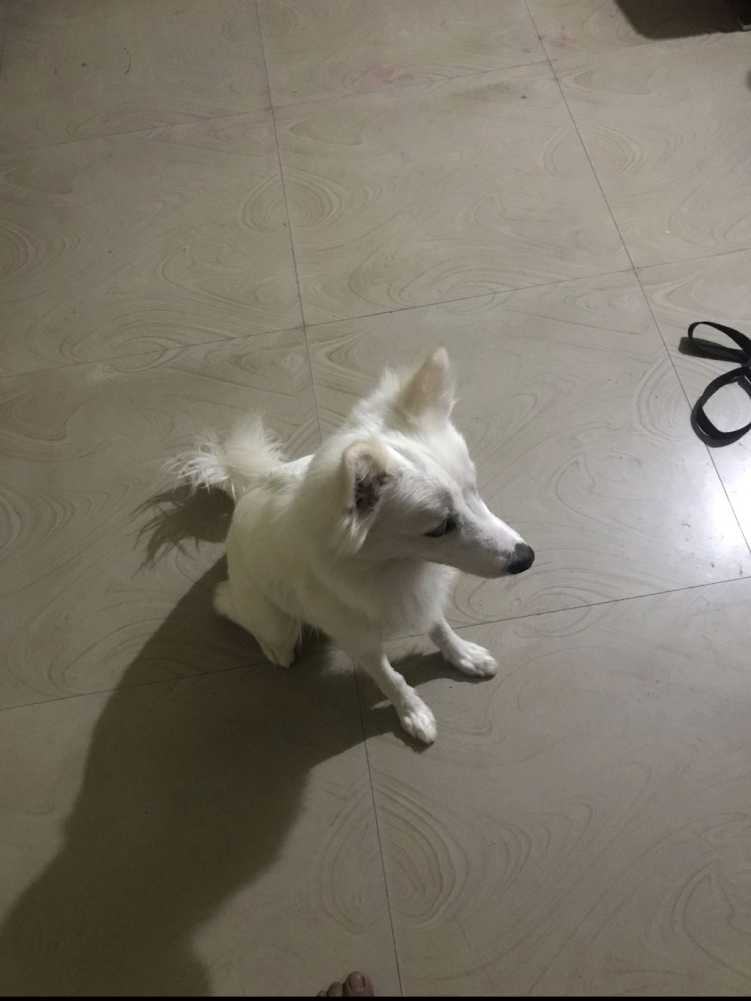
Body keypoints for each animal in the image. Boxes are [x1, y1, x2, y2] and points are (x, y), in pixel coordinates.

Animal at [172, 348, 534, 744]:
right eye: (440, 527)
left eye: (474, 491)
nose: (526, 558)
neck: (388, 565)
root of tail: (251, 485)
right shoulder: (360, 640)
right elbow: (391, 679)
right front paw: (413, 712)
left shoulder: (419, 595)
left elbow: (439, 627)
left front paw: (463, 655)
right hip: (274, 622)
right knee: (231, 605)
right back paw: (269, 645)